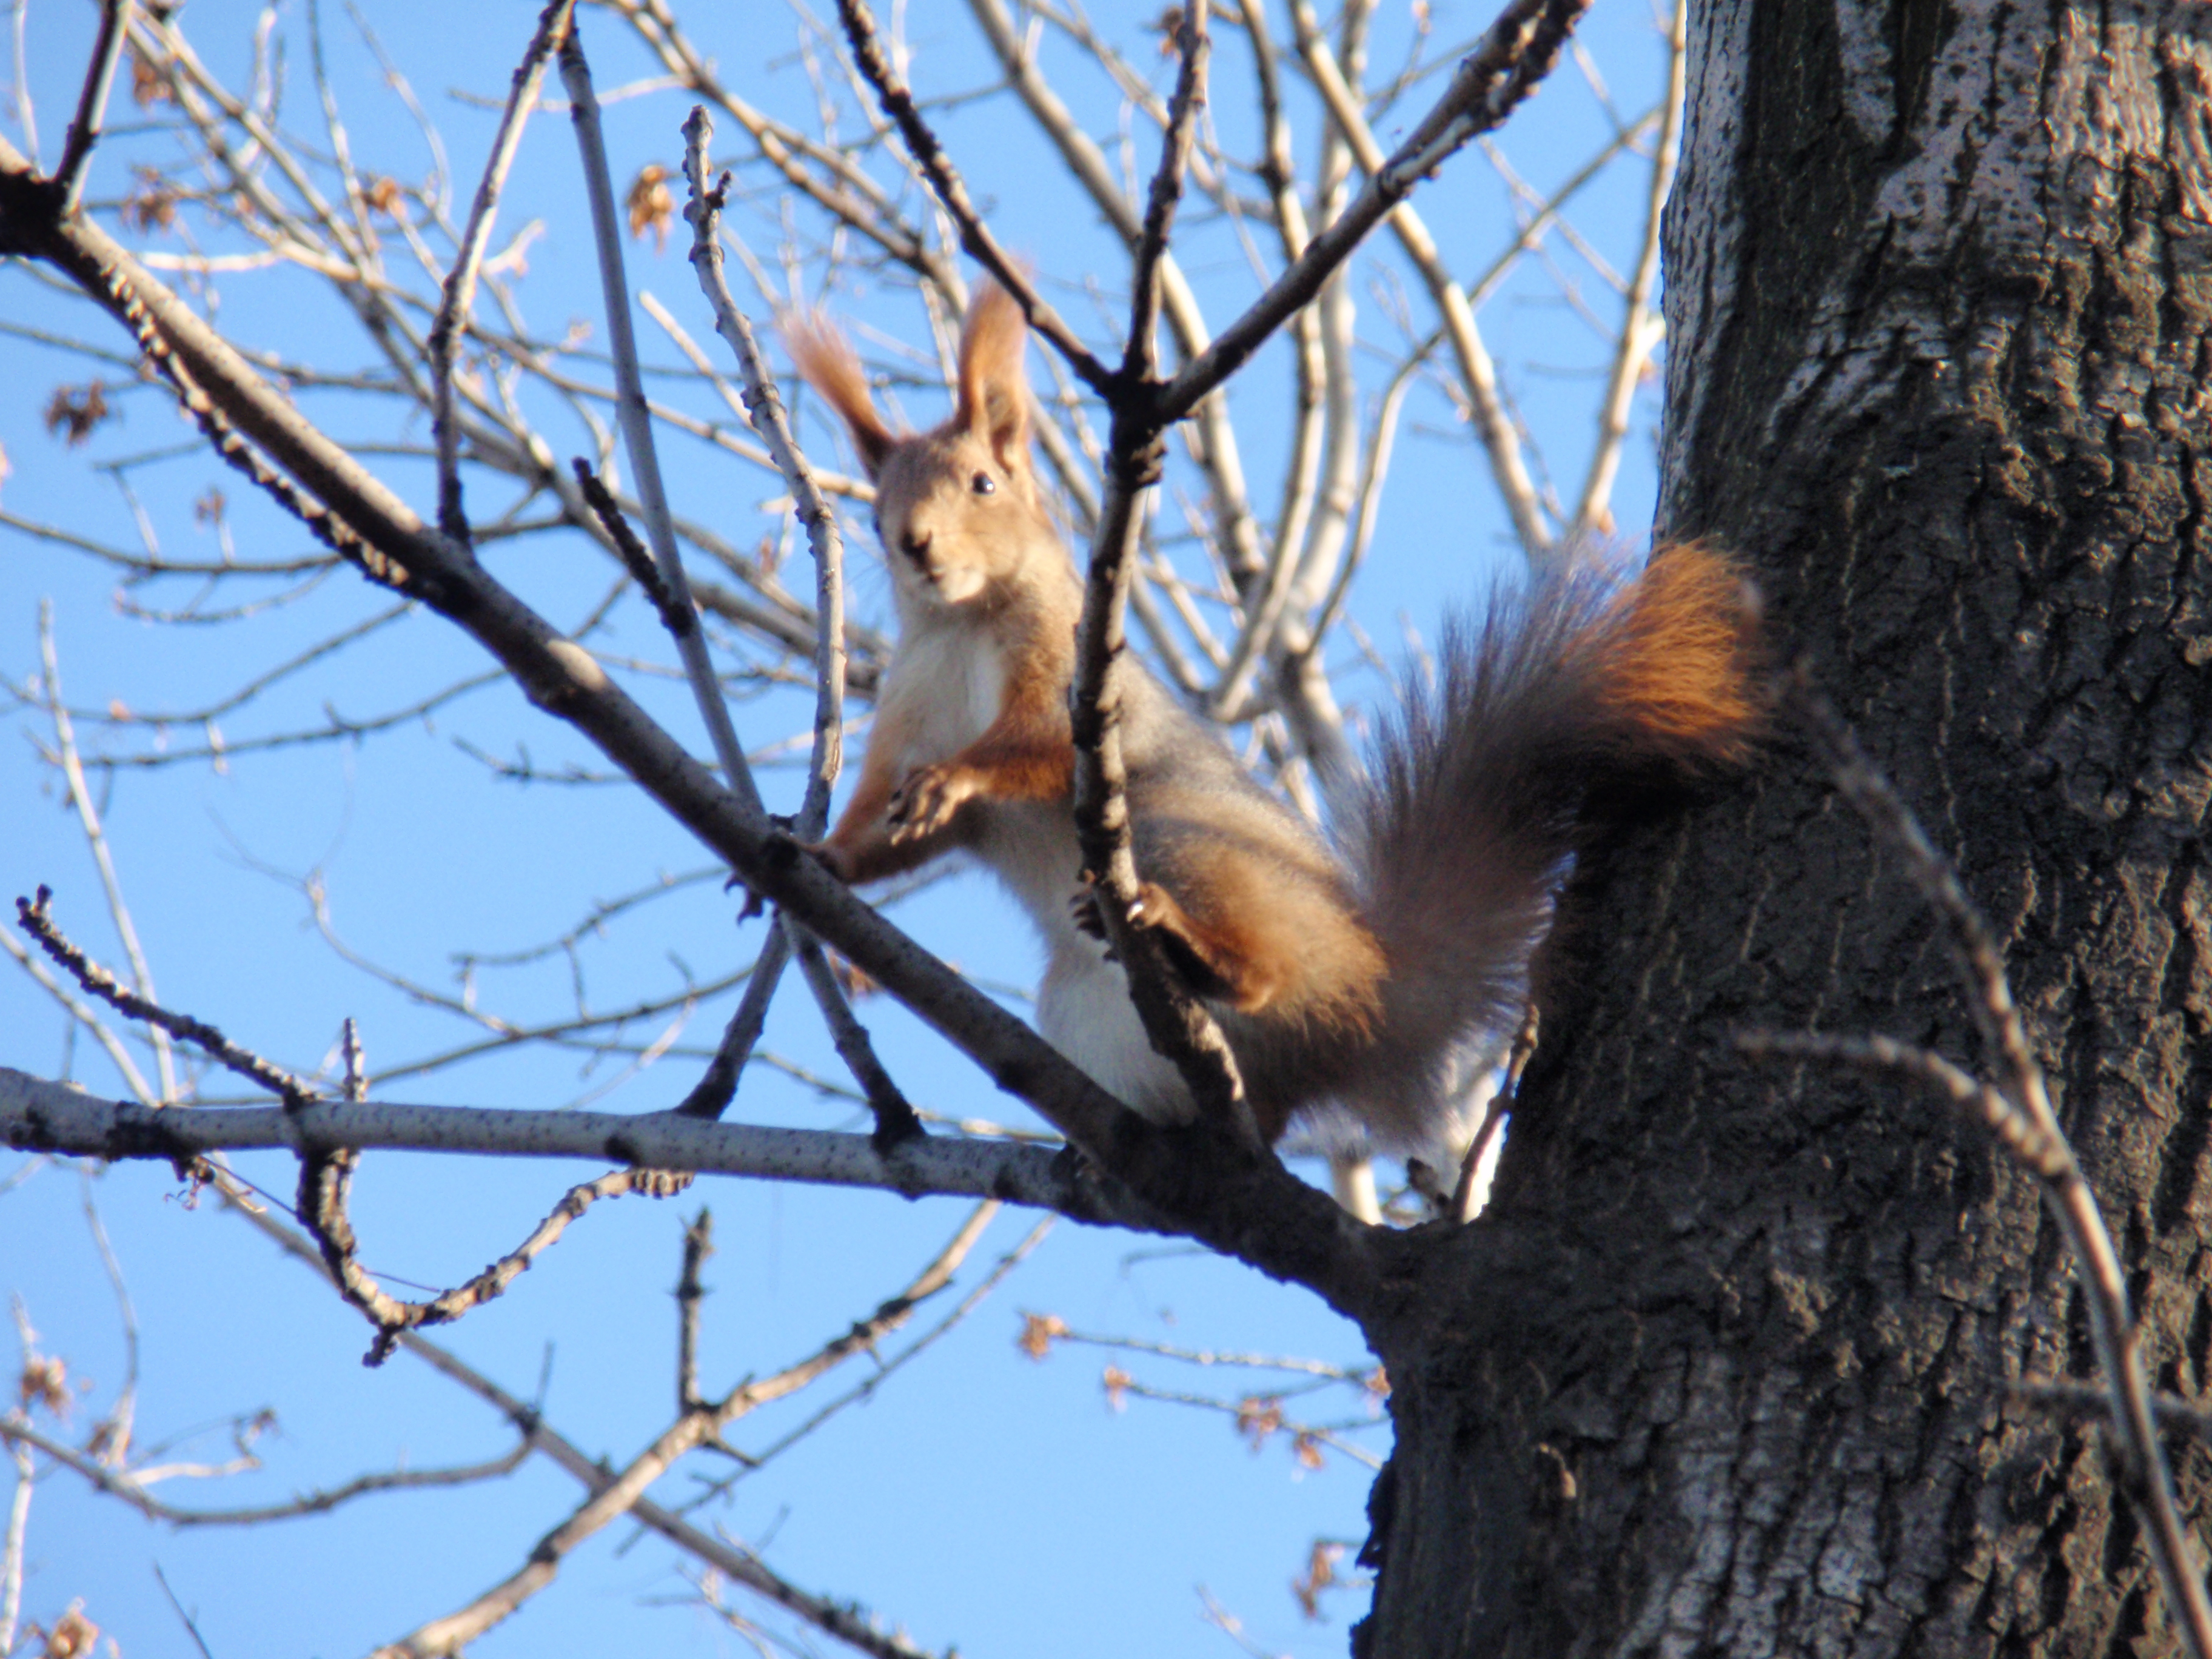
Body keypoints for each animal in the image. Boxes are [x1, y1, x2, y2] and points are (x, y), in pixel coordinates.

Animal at [787, 280, 1752, 1150]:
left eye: (984, 484)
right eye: (873, 516)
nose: (914, 543)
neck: (961, 624)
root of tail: (1376, 996)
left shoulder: (1071, 671)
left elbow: (1035, 746)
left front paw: (956, 776)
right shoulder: (906, 713)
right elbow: (888, 834)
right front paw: (822, 862)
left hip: (1191, 845)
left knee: (1261, 980)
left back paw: (1190, 947)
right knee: (1272, 1100)